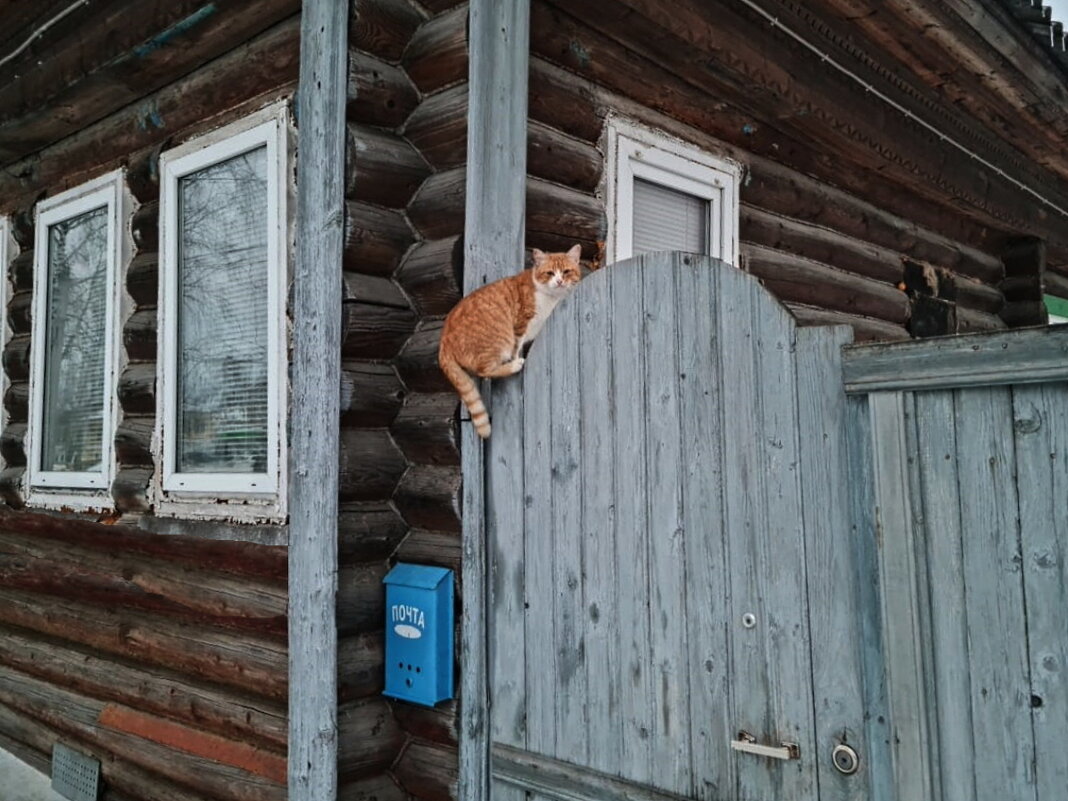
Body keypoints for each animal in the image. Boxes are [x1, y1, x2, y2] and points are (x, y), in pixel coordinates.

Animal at [435, 247, 580, 442]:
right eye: (550, 273)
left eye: (566, 272)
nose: (559, 281)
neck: (548, 298)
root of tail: (443, 341)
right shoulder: (520, 326)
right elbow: (517, 348)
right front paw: (516, 359)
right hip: (499, 342)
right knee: (485, 371)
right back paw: (514, 365)